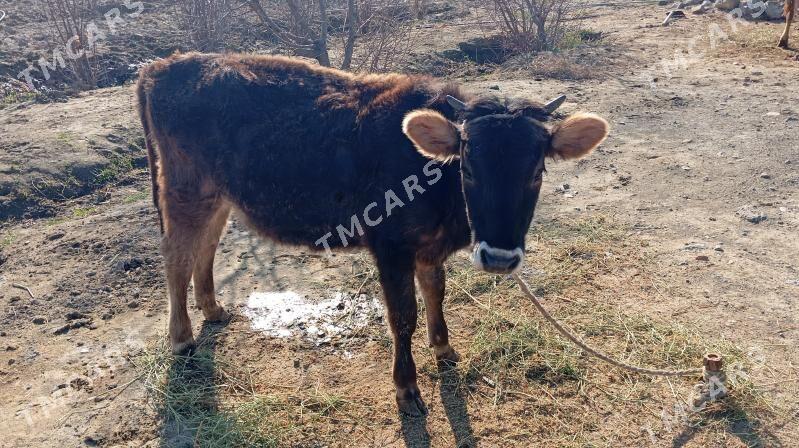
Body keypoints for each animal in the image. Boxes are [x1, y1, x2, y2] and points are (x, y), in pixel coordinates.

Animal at [138, 53, 608, 416]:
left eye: (536, 172)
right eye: (468, 167)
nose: (499, 259)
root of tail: (163, 65)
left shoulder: (429, 248)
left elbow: (435, 291)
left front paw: (444, 349)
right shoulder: (391, 247)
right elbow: (403, 317)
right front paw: (407, 388)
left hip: (217, 193)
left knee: (206, 244)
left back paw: (213, 308)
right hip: (184, 187)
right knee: (176, 256)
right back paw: (181, 337)